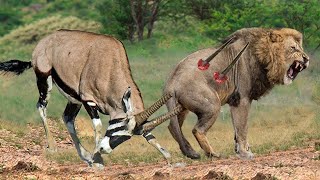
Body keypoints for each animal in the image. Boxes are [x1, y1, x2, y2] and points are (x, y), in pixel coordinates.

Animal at [164, 27, 308, 160]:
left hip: (182, 108)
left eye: (301, 48)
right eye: (293, 48)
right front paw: (246, 153)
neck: (262, 56)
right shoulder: (242, 99)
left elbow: (236, 131)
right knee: (197, 130)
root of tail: (171, 83)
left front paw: (240, 150)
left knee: (173, 127)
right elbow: (242, 128)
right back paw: (212, 154)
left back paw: (190, 152)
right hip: (212, 105)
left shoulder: (234, 101)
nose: (306, 58)